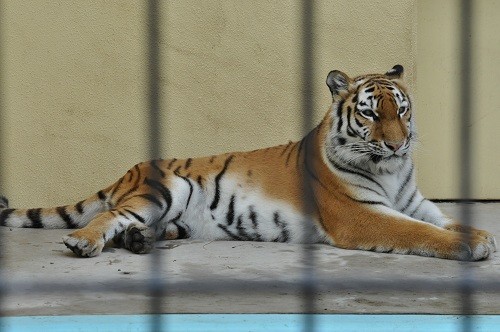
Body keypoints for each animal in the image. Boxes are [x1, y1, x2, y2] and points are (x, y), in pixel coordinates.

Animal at [0, 65, 494, 260]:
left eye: (403, 110)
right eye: (371, 113)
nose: (396, 145)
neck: (391, 172)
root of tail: (131, 169)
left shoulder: (416, 204)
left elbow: (445, 221)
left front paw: (482, 235)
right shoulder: (361, 214)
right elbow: (419, 233)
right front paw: (475, 245)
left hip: (173, 216)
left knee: (137, 225)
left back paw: (140, 241)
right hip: (166, 188)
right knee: (108, 216)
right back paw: (84, 242)